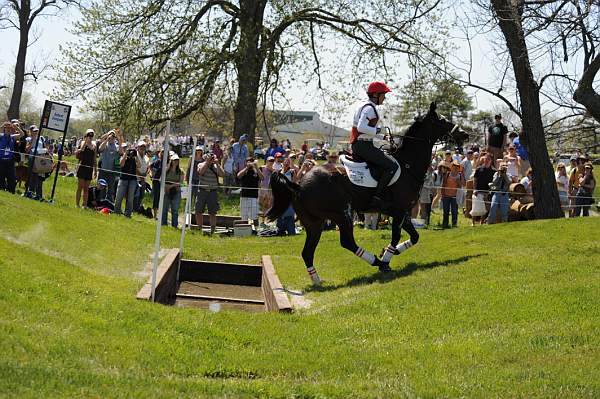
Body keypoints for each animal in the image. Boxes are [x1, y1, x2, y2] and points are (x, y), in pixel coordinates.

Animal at [266, 102, 468, 284]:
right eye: (443, 120)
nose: (465, 134)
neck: (407, 165)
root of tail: (298, 185)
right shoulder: (399, 211)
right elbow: (396, 236)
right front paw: (385, 259)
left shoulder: (402, 212)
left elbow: (414, 237)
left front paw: (389, 252)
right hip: (342, 215)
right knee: (347, 242)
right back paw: (376, 262)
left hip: (314, 223)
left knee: (307, 252)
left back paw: (317, 281)